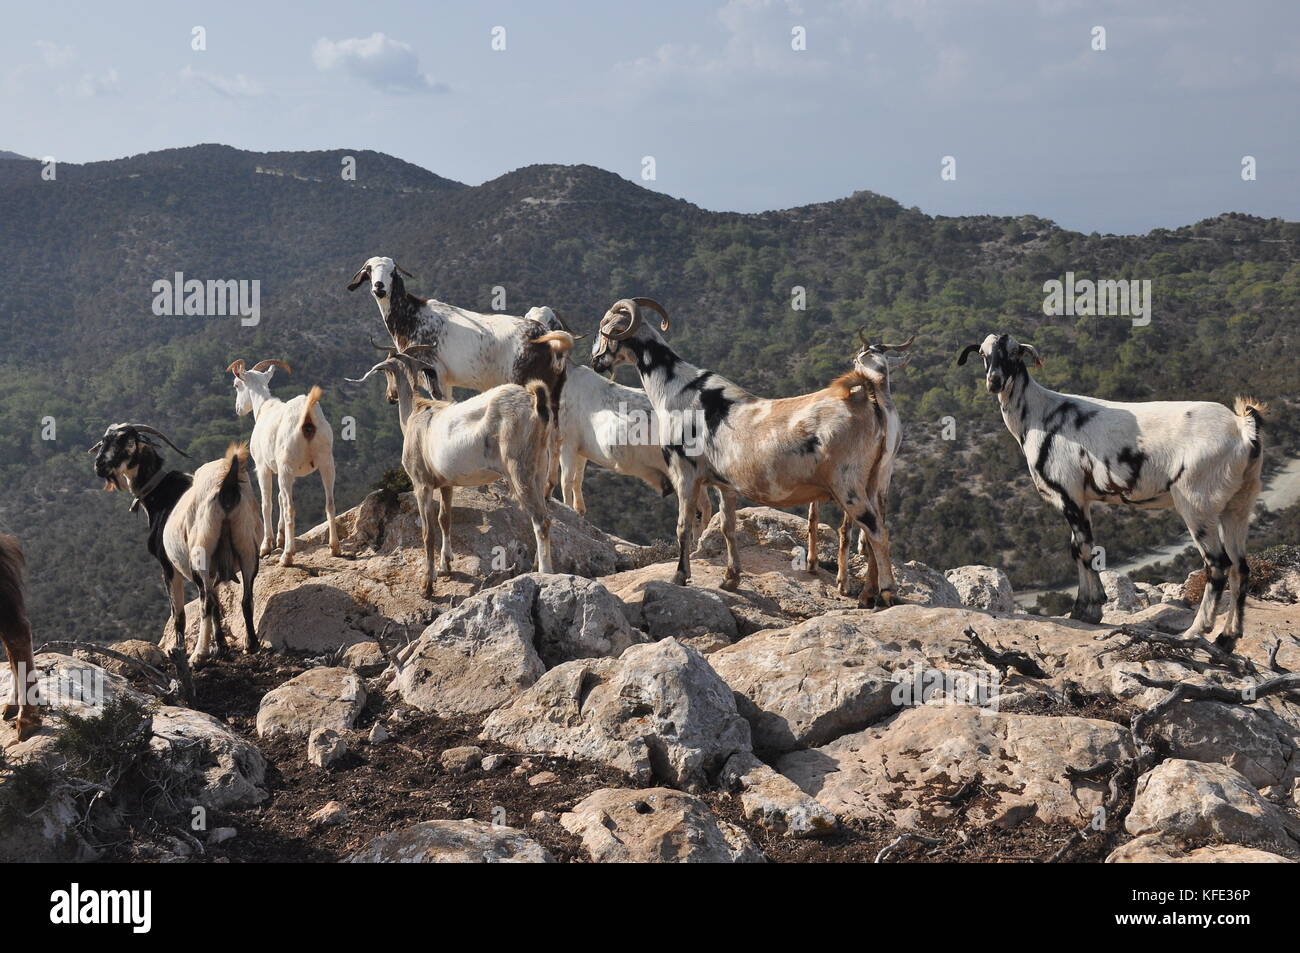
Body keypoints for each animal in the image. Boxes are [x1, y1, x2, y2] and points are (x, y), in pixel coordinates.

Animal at [91, 426, 261, 666]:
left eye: (125, 441)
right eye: (105, 440)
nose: (99, 465)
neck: (158, 493)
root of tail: (227, 483)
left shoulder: (167, 565)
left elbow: (178, 614)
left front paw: (181, 649)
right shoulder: (217, 569)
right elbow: (219, 604)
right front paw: (221, 646)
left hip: (200, 553)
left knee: (206, 602)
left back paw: (198, 655)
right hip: (247, 546)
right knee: (246, 597)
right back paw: (251, 644)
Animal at [228, 358, 339, 566]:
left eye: (236, 385)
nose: (238, 409)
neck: (264, 408)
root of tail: (307, 417)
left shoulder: (263, 467)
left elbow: (267, 503)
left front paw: (266, 546)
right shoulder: (283, 470)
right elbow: (279, 497)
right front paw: (279, 538)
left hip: (287, 465)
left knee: (290, 509)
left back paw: (287, 556)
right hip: (326, 462)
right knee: (330, 503)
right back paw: (335, 548)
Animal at [347, 337, 572, 597]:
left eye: (386, 372)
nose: (390, 396)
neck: (415, 411)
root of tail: (536, 404)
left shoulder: (421, 483)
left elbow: (428, 532)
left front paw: (427, 584)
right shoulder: (447, 483)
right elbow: (445, 519)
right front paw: (446, 565)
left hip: (519, 467)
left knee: (540, 520)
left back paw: (545, 573)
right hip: (539, 467)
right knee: (545, 514)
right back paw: (537, 565)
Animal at [592, 298, 897, 608]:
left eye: (605, 328)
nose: (595, 361)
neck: (676, 388)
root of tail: (867, 399)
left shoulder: (684, 472)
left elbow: (683, 525)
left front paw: (679, 576)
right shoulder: (725, 483)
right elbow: (728, 527)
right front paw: (731, 579)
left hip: (848, 482)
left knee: (876, 530)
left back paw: (887, 592)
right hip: (876, 479)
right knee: (874, 530)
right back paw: (867, 595)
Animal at [958, 332, 1265, 645]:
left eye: (1014, 353)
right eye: (982, 354)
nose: (994, 382)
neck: (1038, 416)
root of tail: (1242, 429)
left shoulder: (1069, 493)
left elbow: (1083, 549)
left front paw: (1088, 609)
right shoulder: (1081, 499)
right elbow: (1079, 547)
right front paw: (1088, 607)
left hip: (1197, 503)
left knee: (1217, 565)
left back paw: (1194, 631)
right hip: (1239, 502)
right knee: (1241, 566)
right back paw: (1228, 636)